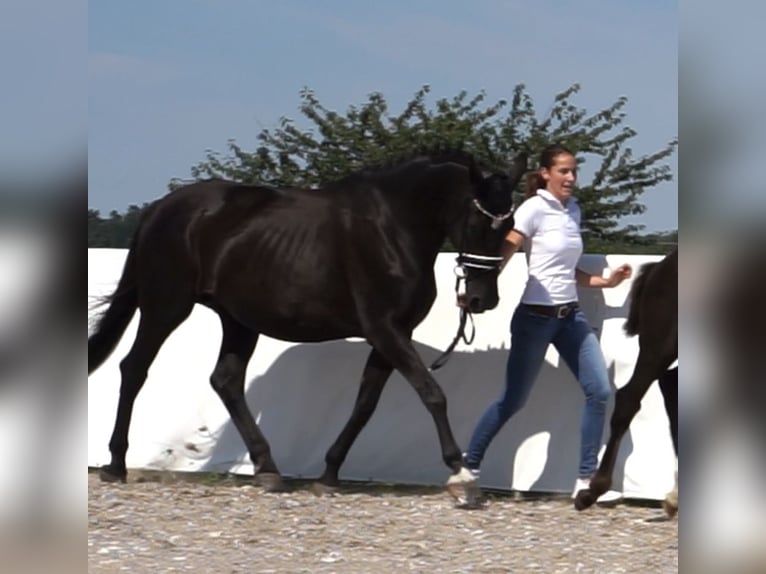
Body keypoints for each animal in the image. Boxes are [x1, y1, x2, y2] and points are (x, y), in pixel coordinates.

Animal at [88, 150, 528, 508]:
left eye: (510, 221)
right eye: (479, 221)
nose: (481, 300)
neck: (393, 227)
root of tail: (160, 208)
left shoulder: (388, 336)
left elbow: (365, 405)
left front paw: (329, 475)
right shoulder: (385, 329)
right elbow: (431, 393)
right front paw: (461, 476)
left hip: (239, 320)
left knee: (225, 380)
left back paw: (268, 469)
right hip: (165, 307)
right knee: (134, 369)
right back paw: (115, 464)